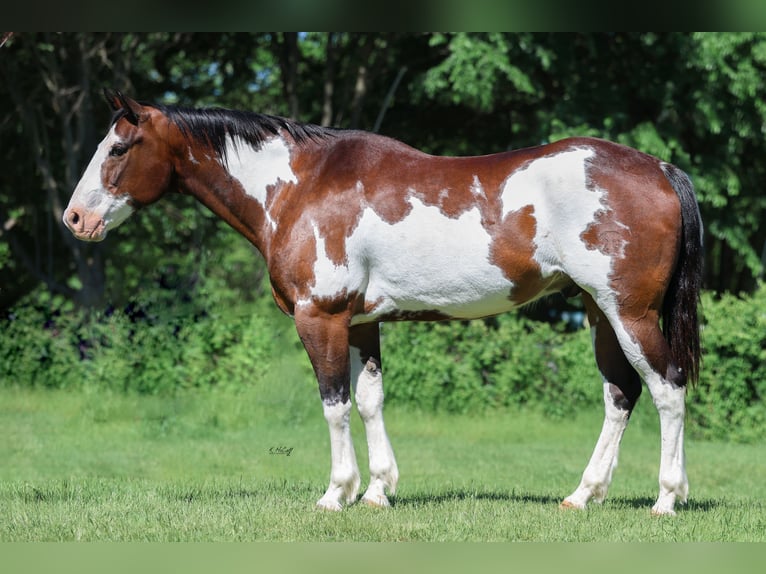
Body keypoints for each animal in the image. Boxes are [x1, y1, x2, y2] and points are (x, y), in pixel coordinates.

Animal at [64, 89, 702, 515]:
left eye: (118, 147)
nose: (74, 219)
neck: (299, 186)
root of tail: (659, 167)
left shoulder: (319, 317)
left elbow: (334, 404)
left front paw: (335, 494)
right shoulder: (361, 322)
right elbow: (370, 401)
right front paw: (376, 491)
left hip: (629, 314)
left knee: (668, 389)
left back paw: (667, 500)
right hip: (600, 314)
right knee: (621, 395)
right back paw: (582, 495)